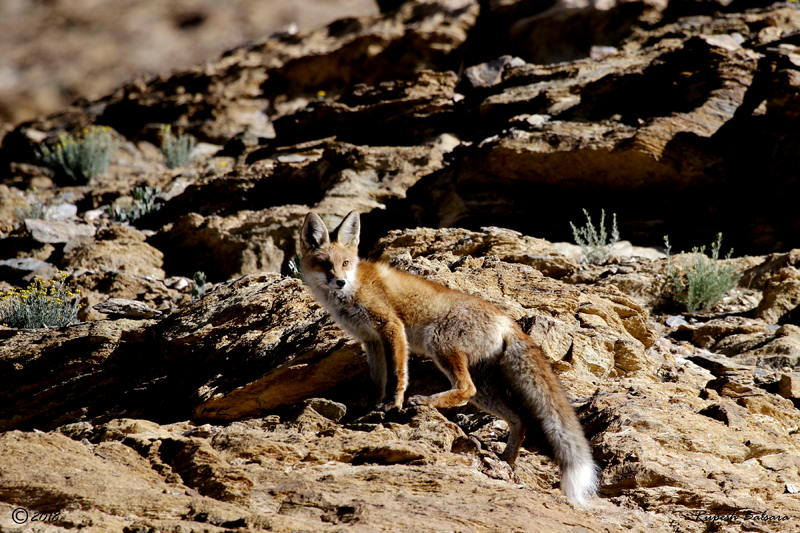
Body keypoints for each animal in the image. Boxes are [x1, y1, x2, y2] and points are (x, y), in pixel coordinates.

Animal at [299, 210, 599, 506]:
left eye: (345, 263)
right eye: (325, 264)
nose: (339, 281)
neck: (353, 289)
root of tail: (507, 320)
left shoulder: (391, 327)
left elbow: (397, 374)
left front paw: (393, 404)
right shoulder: (371, 341)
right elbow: (378, 380)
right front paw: (371, 408)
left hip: (440, 344)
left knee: (466, 389)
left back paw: (426, 402)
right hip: (484, 388)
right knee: (516, 417)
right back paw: (506, 459)